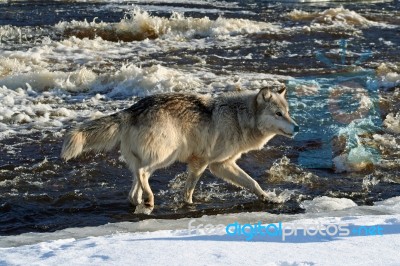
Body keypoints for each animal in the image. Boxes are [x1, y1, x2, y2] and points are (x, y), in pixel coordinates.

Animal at [61, 86, 298, 213]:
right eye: (278, 114)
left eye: (287, 112)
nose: (297, 127)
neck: (240, 118)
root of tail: (131, 110)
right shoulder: (203, 163)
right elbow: (188, 190)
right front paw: (189, 205)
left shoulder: (223, 164)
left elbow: (253, 183)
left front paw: (269, 198)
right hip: (166, 156)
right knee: (142, 173)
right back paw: (150, 199)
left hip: (150, 160)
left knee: (132, 190)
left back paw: (141, 202)